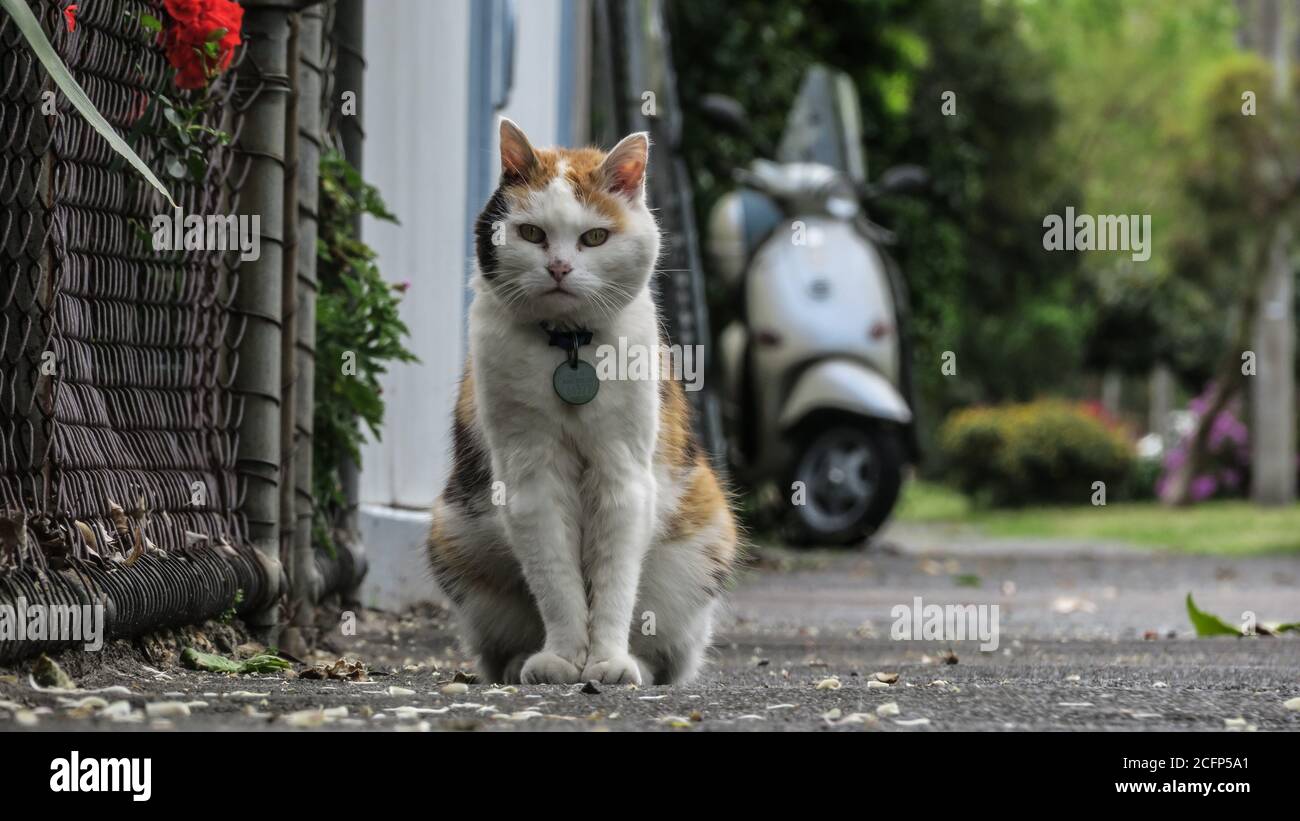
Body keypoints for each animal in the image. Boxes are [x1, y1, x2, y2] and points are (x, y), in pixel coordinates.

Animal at [423, 120, 738, 685]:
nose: (559, 267)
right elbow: (556, 578)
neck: (568, 345)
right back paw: (524, 662)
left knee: (672, 656)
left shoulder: (623, 472)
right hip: (452, 535)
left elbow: (613, 582)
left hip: (707, 532)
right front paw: (565, 658)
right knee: (498, 647)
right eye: (531, 234)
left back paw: (636, 664)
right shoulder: (530, 475)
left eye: (594, 237)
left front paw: (607, 660)